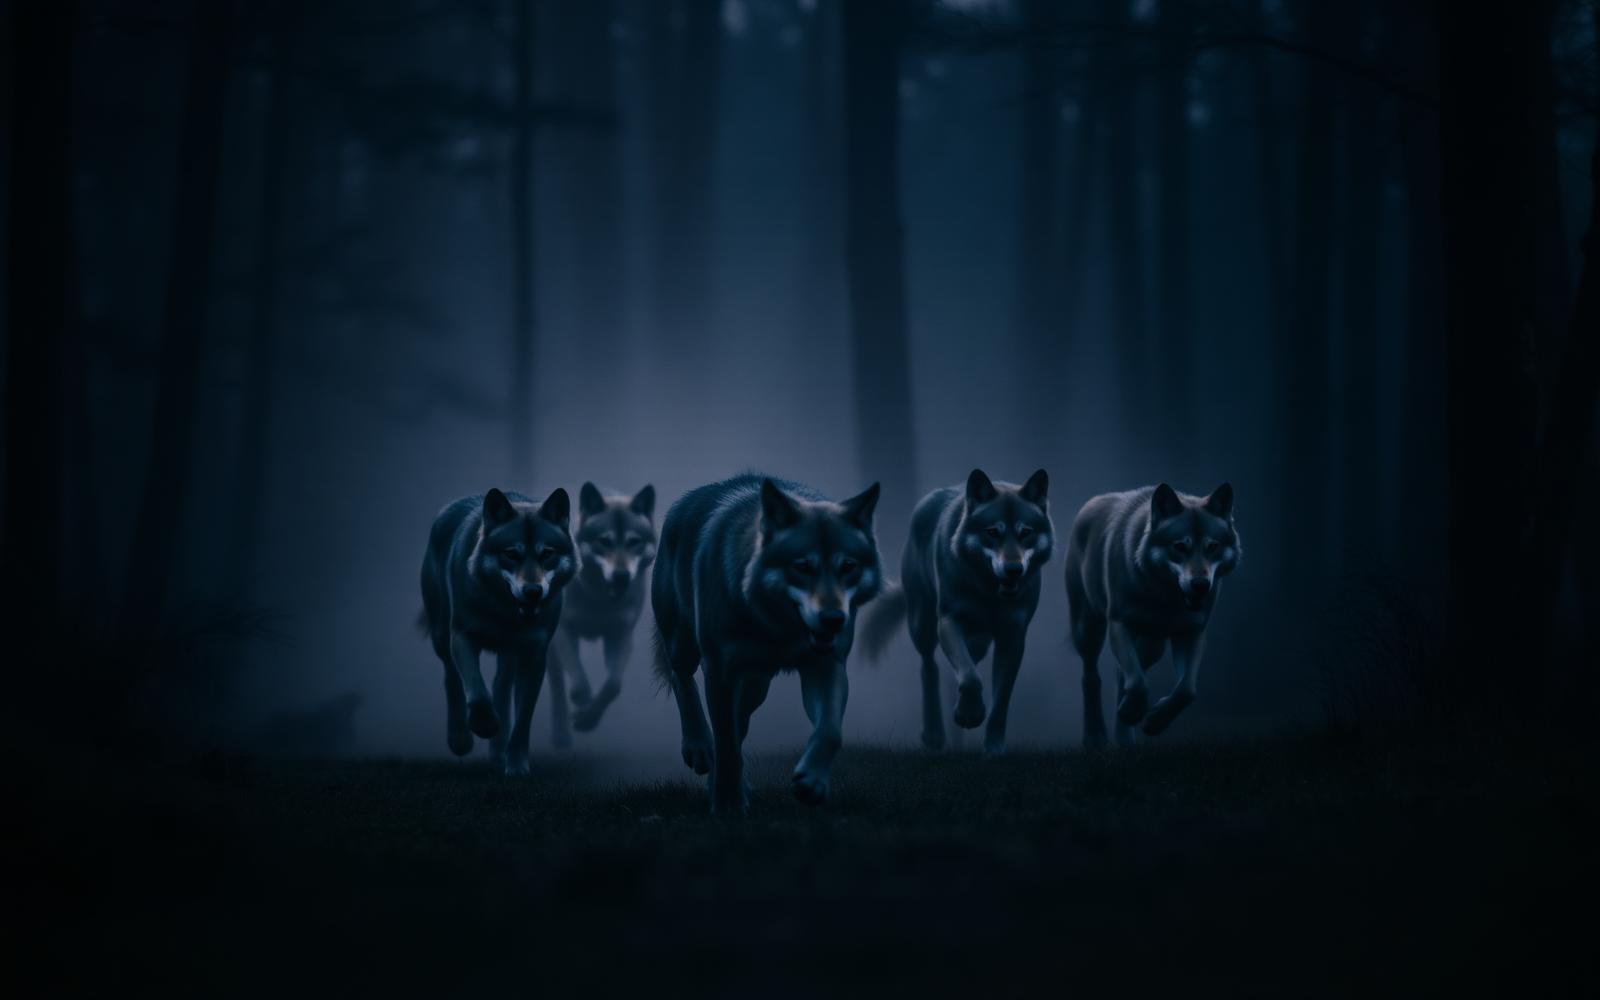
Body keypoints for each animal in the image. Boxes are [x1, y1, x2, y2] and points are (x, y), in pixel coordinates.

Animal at [419, 487, 577, 775]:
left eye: (546, 554)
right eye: (511, 554)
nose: (533, 591)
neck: (506, 613)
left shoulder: (533, 657)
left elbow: (523, 720)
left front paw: (516, 765)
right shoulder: (462, 637)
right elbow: (478, 694)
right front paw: (485, 726)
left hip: (509, 655)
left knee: (500, 685)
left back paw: (497, 750)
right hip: (441, 637)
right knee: (452, 678)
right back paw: (460, 739)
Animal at [544, 482, 656, 747]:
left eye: (634, 542)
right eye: (604, 541)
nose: (621, 575)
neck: (600, 599)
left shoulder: (620, 636)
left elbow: (613, 686)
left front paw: (589, 719)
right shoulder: (565, 631)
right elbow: (578, 685)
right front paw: (582, 708)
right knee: (557, 684)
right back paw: (561, 735)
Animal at [652, 474, 882, 814]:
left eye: (848, 566)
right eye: (802, 566)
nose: (833, 619)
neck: (775, 627)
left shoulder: (826, 666)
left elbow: (830, 732)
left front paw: (811, 781)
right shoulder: (718, 670)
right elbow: (726, 740)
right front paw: (729, 806)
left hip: (756, 687)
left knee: (739, 725)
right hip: (683, 643)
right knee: (680, 678)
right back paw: (699, 748)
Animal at [858, 469, 1053, 754]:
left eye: (1025, 532)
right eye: (993, 532)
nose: (1014, 569)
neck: (988, 592)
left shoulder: (1013, 638)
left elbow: (1001, 699)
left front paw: (994, 748)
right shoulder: (949, 621)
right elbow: (970, 679)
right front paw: (969, 715)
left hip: (977, 642)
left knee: (962, 665)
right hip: (923, 625)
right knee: (930, 667)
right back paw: (934, 735)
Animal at [1064, 483, 1240, 746]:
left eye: (1212, 546)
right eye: (1179, 546)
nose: (1200, 585)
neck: (1163, 598)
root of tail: (1090, 504)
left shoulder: (1192, 633)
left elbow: (1186, 691)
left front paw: (1153, 721)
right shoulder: (1120, 623)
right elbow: (1138, 684)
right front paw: (1133, 713)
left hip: (1152, 648)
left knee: (1122, 676)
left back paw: (1124, 739)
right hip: (1088, 630)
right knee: (1092, 677)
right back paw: (1095, 737)